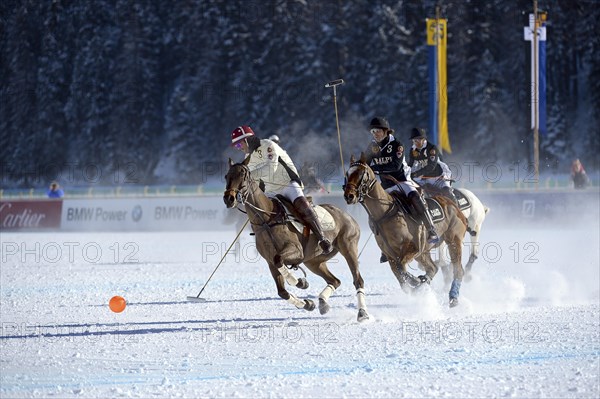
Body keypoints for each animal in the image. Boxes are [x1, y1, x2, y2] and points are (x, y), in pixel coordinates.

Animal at [223, 158, 368, 324]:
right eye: (226, 176)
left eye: (243, 175)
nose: (229, 198)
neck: (266, 220)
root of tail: (347, 215)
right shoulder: (270, 262)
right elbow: (282, 292)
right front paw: (308, 303)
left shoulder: (296, 251)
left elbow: (280, 260)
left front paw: (300, 282)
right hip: (314, 261)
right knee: (335, 281)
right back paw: (322, 303)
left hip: (349, 247)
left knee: (358, 280)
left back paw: (362, 313)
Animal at [342, 155, 468, 308]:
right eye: (347, 174)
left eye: (361, 174)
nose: (349, 196)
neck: (384, 213)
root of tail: (454, 205)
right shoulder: (390, 254)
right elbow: (400, 276)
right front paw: (417, 285)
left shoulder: (412, 247)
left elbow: (401, 268)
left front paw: (416, 281)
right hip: (424, 251)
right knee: (433, 268)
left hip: (453, 241)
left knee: (458, 270)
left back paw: (453, 297)